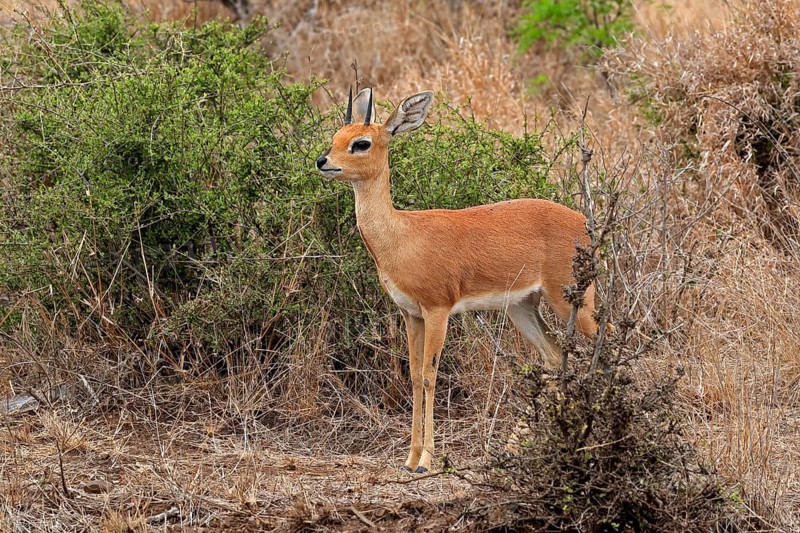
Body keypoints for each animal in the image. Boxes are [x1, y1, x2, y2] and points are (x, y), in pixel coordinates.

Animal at [316, 88, 599, 473]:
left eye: (361, 143)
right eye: (336, 136)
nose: (322, 161)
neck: (402, 236)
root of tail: (584, 224)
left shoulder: (438, 310)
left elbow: (429, 375)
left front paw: (426, 460)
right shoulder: (411, 314)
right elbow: (414, 375)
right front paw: (409, 458)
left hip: (572, 301)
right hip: (522, 307)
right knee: (554, 358)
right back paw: (512, 448)